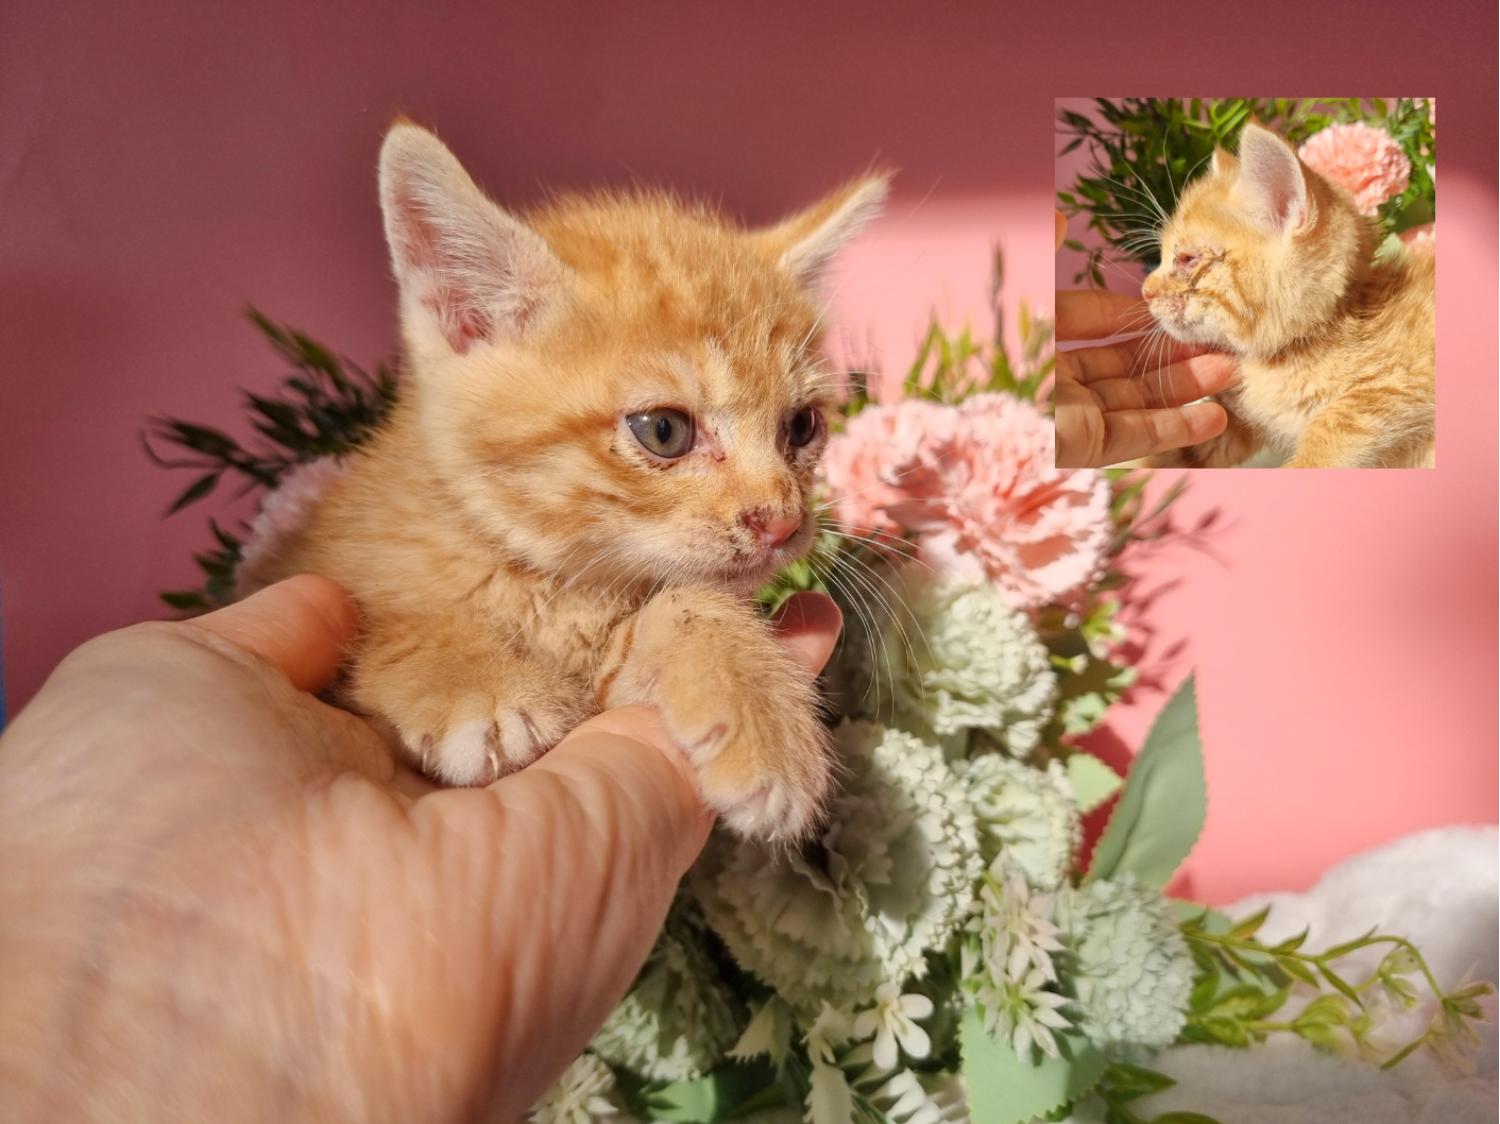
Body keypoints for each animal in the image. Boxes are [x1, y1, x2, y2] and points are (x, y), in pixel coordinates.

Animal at [238, 125, 882, 840]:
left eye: (802, 426)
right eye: (664, 431)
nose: (784, 521)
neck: (544, 578)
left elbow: (691, 604)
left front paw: (763, 719)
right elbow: (388, 622)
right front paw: (476, 683)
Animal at [1140, 123, 1434, 468]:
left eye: (1187, 259)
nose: (1145, 291)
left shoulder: (1398, 384)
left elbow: (1331, 428)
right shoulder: (1238, 422)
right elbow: (1207, 437)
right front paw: (1151, 463)